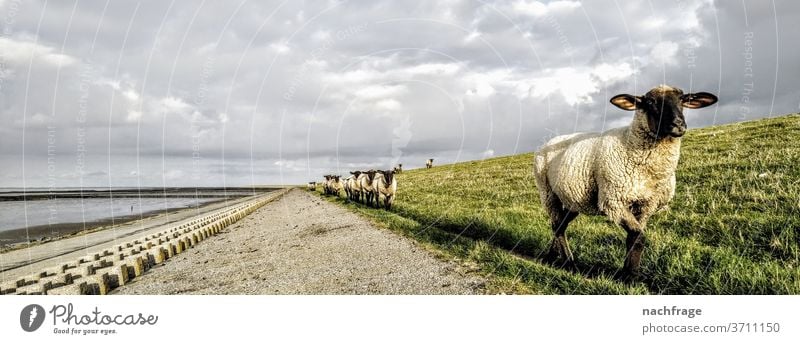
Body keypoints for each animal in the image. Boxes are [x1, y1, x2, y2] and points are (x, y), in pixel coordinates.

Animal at [536, 84, 716, 278]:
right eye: (650, 102)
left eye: (683, 100)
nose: (678, 125)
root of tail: (549, 141)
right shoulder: (613, 201)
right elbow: (638, 236)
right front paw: (631, 277)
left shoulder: (647, 204)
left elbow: (633, 238)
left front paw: (628, 272)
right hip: (548, 193)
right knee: (557, 225)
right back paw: (568, 261)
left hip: (573, 199)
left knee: (560, 224)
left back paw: (553, 256)